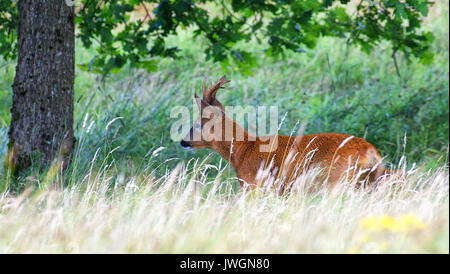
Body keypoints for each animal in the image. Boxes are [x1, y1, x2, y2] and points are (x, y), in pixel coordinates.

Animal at [179, 75, 398, 191]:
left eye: (197, 124)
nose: (183, 141)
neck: (242, 151)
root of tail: (372, 152)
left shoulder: (254, 185)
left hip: (338, 179)